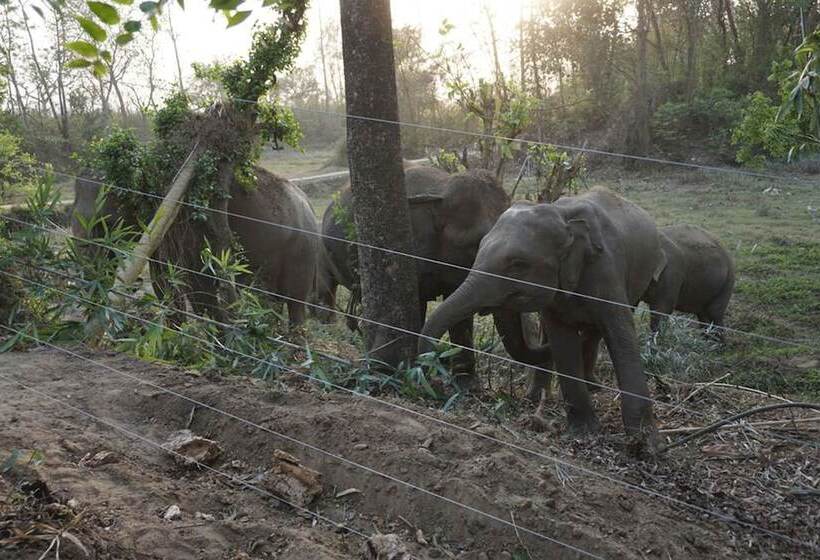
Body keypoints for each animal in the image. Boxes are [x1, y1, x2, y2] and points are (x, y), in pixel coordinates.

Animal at [71, 167, 322, 326]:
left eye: (106, 222)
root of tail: (308, 203)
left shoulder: (188, 224)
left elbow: (190, 280)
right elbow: (167, 280)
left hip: (302, 251)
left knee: (295, 302)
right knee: (269, 298)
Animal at [419, 187, 666, 448]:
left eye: (518, 264)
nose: (432, 381)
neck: (563, 217)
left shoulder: (607, 270)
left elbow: (621, 336)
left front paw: (647, 445)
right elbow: (562, 342)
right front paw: (583, 432)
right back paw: (539, 397)